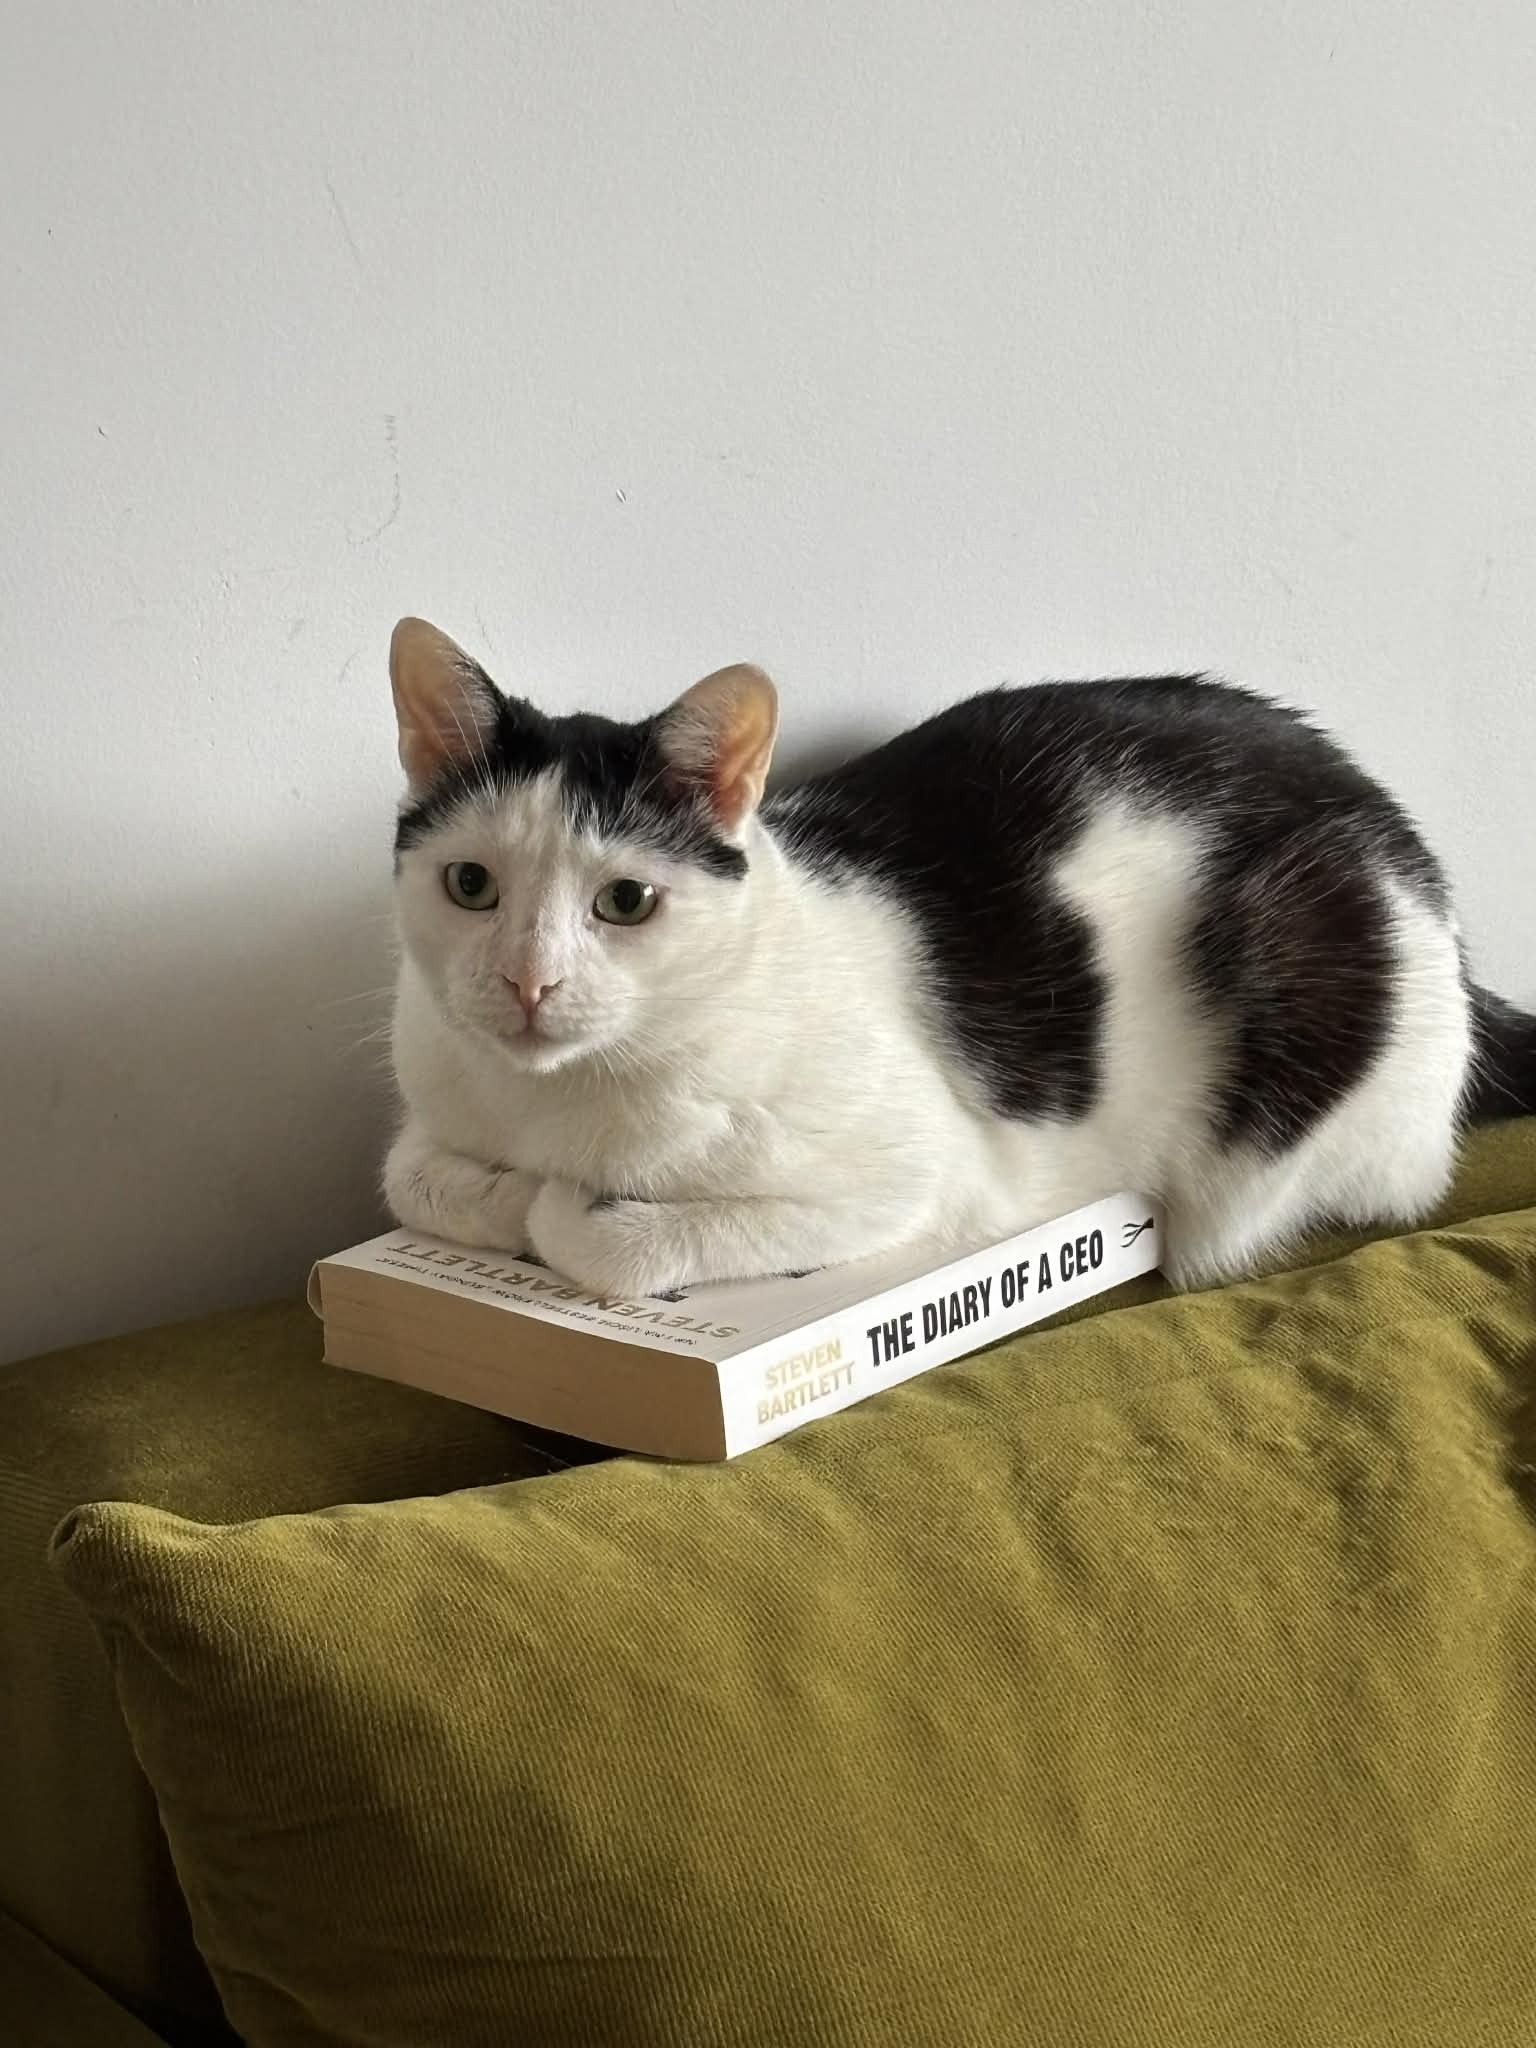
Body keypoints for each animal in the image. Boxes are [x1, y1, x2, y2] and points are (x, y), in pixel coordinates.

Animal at [381, 617, 1535, 1297]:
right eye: (471, 885)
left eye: (625, 902)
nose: (529, 982)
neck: (544, 1106)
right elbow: (409, 1177)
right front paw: (492, 1194)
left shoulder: (913, 1185)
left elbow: (614, 1244)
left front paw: (551, 1208)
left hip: (1308, 989)